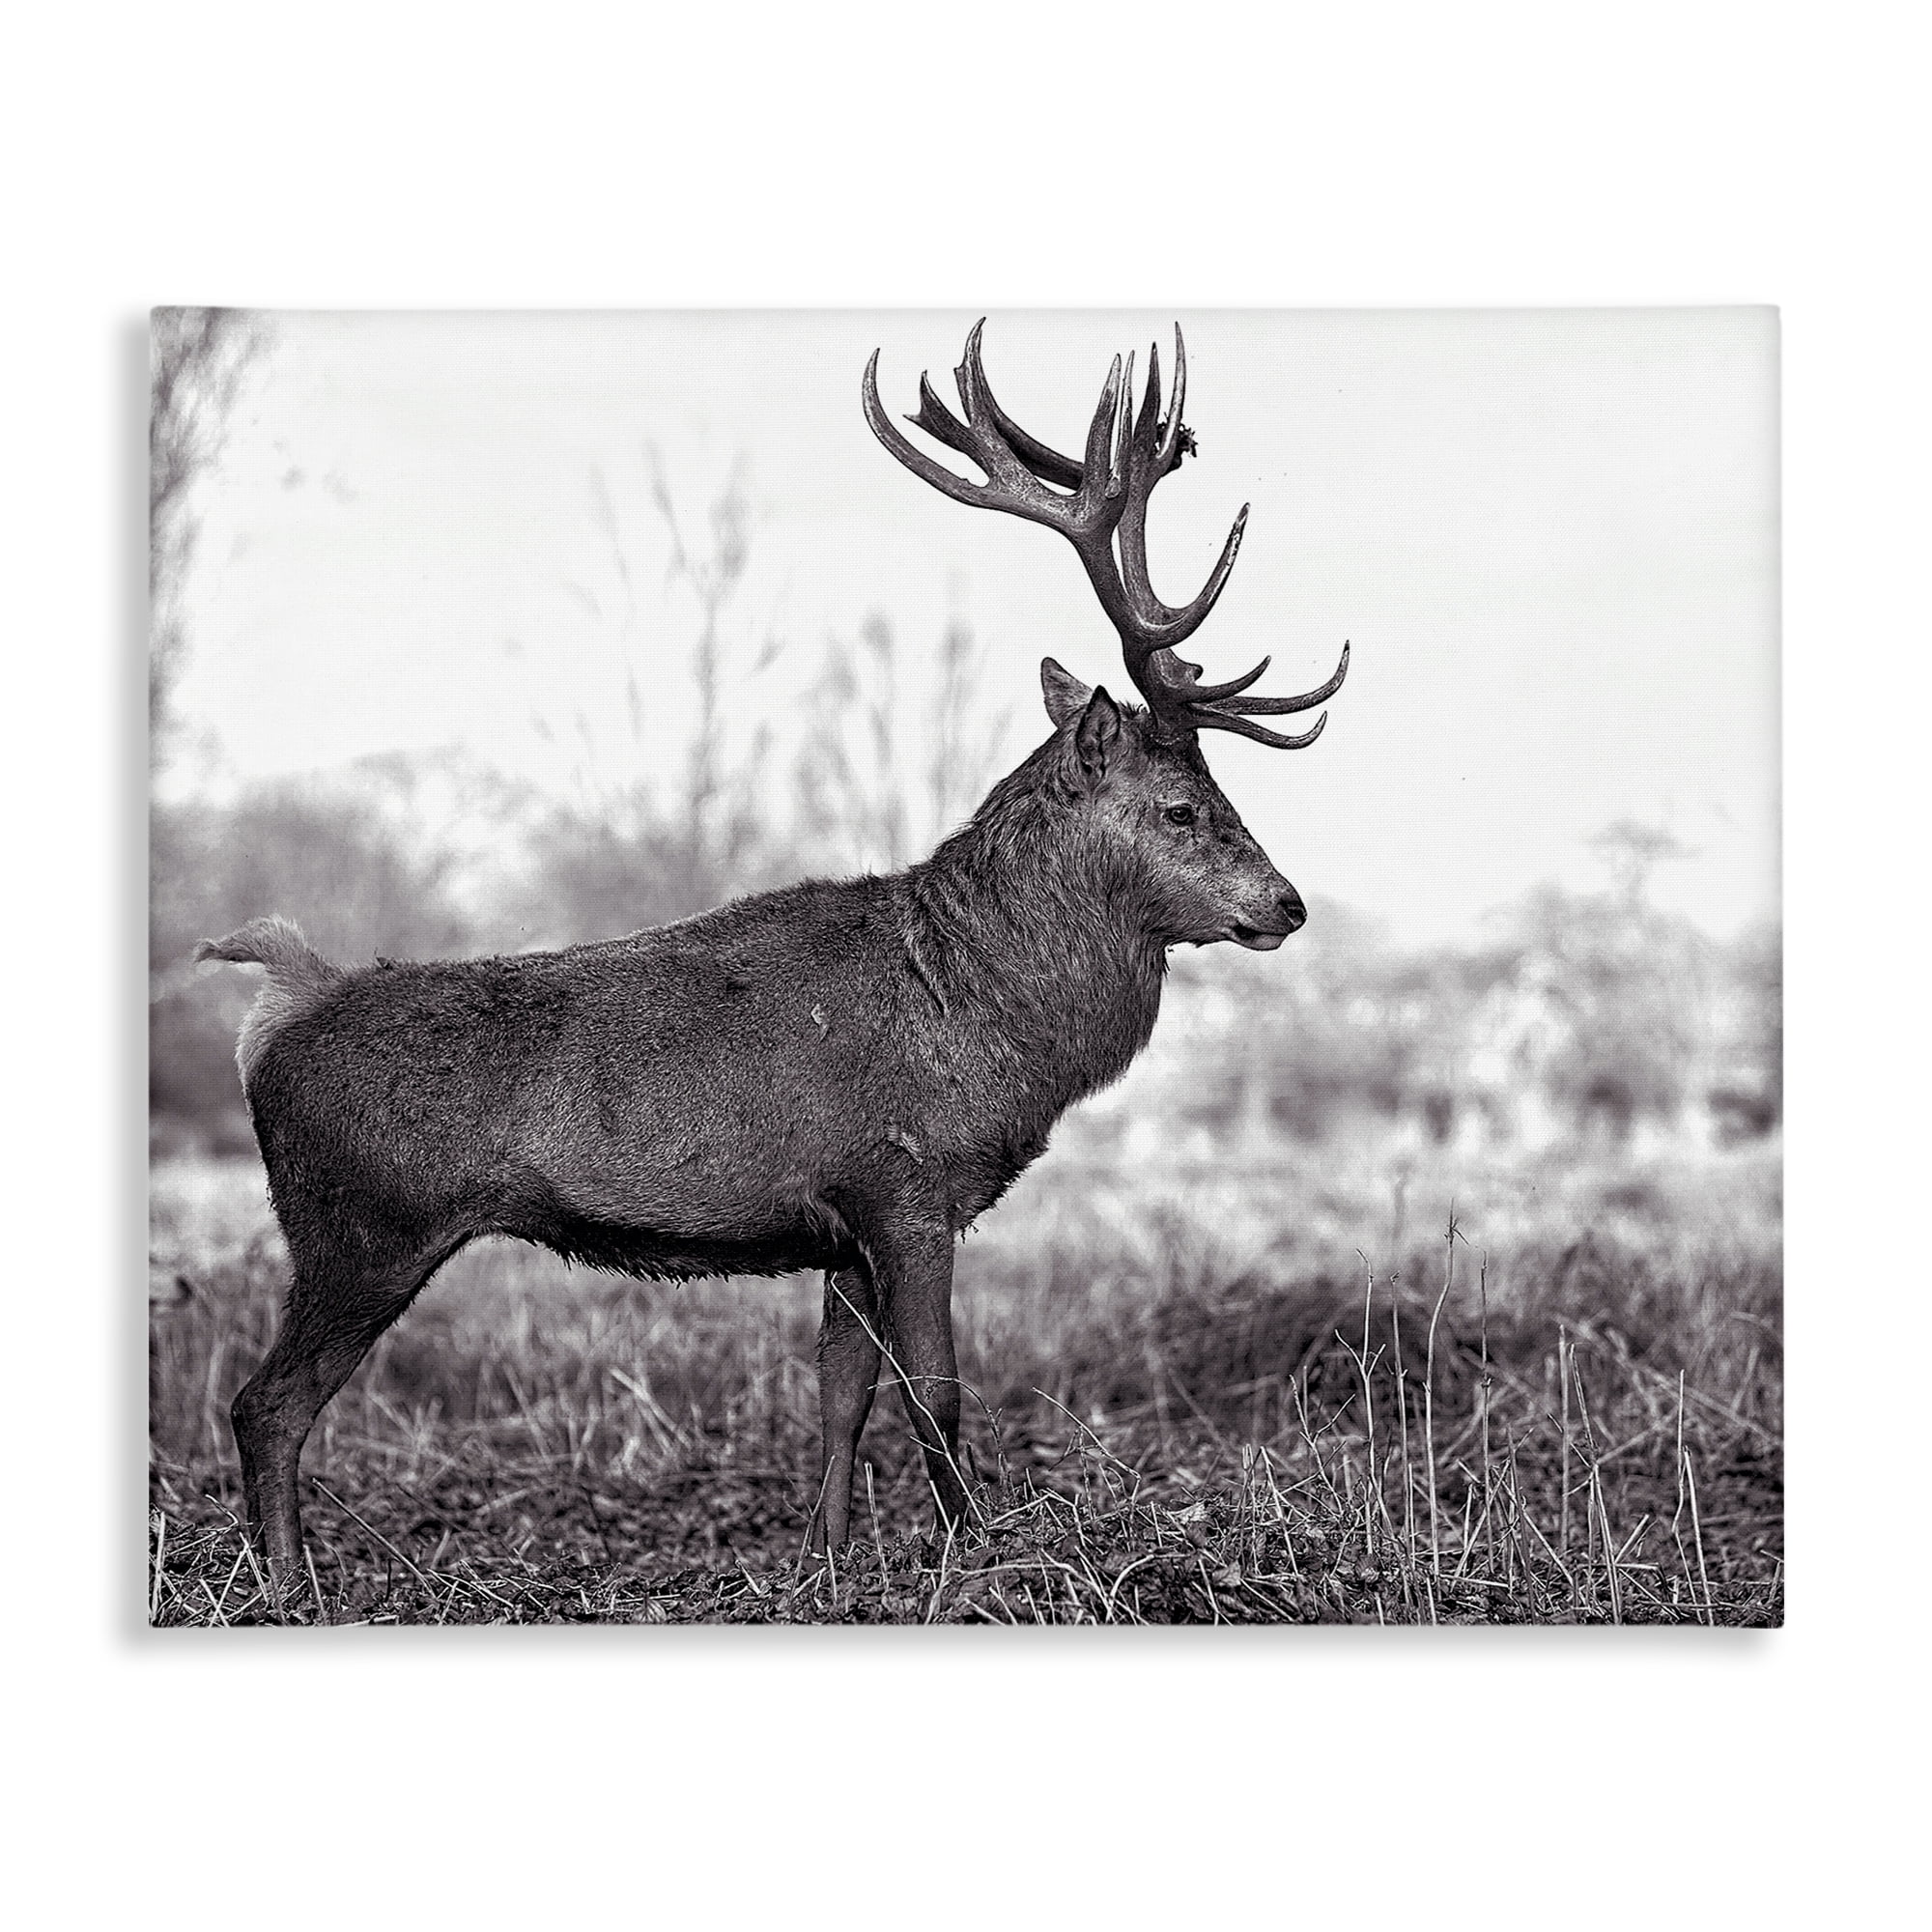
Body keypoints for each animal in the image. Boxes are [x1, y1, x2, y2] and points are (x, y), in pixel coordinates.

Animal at [196, 321, 1348, 1603]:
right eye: (1182, 808)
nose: (1287, 904)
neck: (988, 1016)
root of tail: (276, 1008)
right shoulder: (907, 1184)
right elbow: (935, 1392)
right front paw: (977, 1555)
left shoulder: (838, 1225)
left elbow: (840, 1393)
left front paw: (827, 1560)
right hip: (361, 1226)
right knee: (263, 1403)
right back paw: (287, 1585)